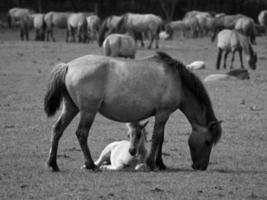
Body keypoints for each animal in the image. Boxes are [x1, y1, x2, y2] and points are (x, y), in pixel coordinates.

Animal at [44, 51, 224, 172]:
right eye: (208, 142)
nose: (201, 166)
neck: (178, 81)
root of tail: (68, 66)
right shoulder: (163, 113)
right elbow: (157, 137)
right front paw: (152, 163)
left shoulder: (162, 114)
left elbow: (161, 138)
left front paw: (160, 163)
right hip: (88, 111)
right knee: (81, 133)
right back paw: (91, 165)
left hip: (71, 108)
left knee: (57, 130)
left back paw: (53, 164)